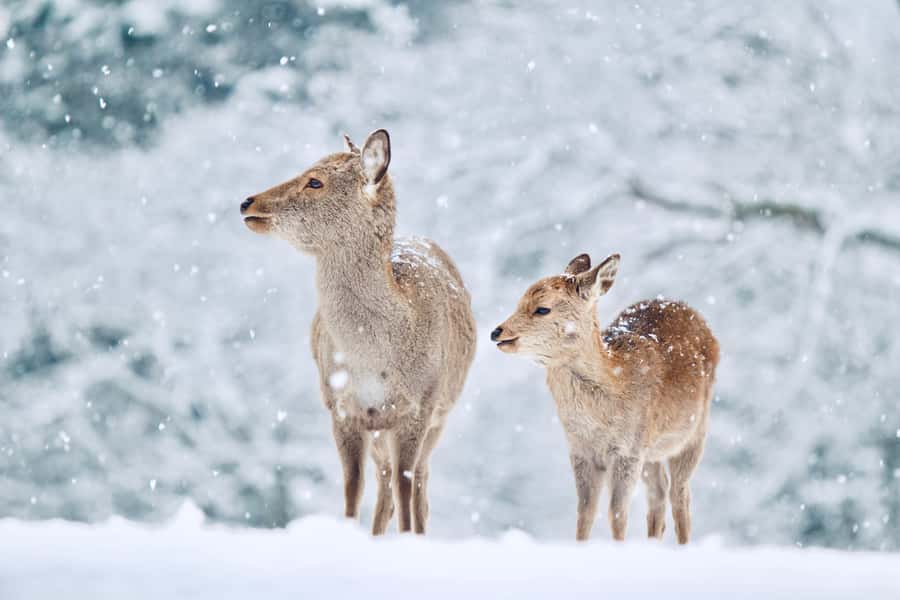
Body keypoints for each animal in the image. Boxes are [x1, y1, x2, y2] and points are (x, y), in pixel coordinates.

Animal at [240, 130, 476, 535]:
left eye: (315, 181)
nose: (247, 202)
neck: (374, 361)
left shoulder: (418, 408)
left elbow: (405, 486)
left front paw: (408, 538)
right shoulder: (341, 407)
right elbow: (354, 486)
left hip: (441, 415)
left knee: (418, 484)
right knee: (383, 483)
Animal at [491, 253, 718, 543]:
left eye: (542, 308)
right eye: (520, 301)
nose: (497, 332)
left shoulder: (627, 451)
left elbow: (617, 513)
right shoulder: (581, 451)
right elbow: (585, 512)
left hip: (693, 436)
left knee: (680, 494)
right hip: (651, 453)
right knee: (659, 493)